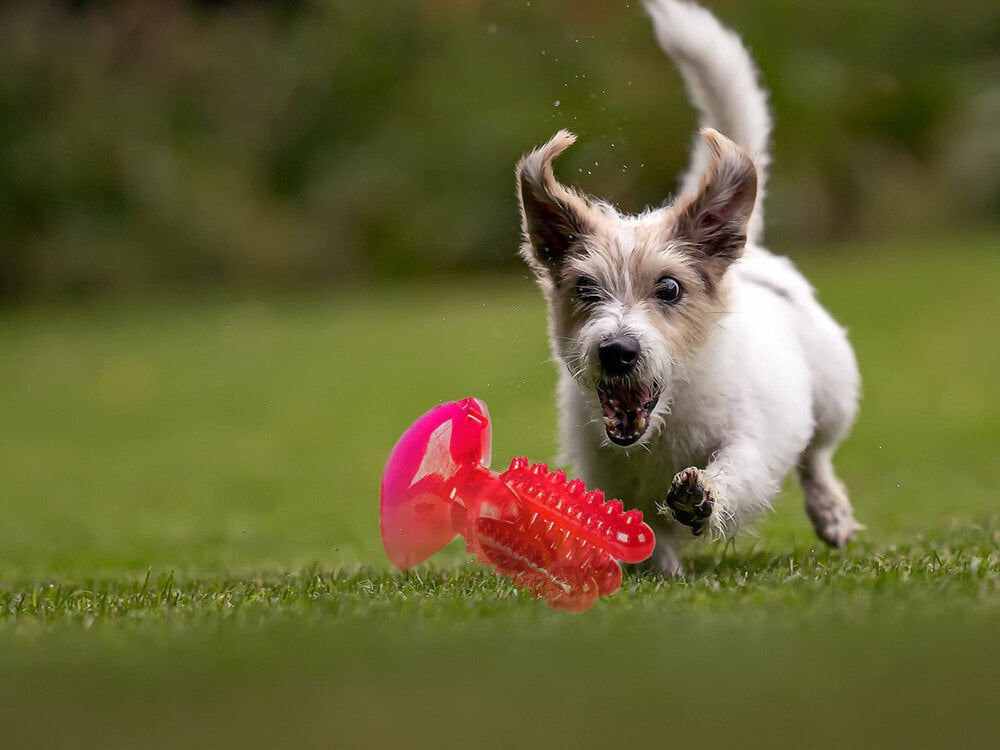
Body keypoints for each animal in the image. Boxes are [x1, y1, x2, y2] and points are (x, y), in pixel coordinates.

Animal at [516, 0, 860, 576]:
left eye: (670, 289)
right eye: (586, 289)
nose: (617, 351)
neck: (667, 419)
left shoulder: (750, 441)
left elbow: (737, 470)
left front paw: (703, 497)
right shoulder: (607, 473)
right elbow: (643, 533)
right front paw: (661, 574)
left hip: (833, 397)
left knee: (816, 457)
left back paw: (830, 510)